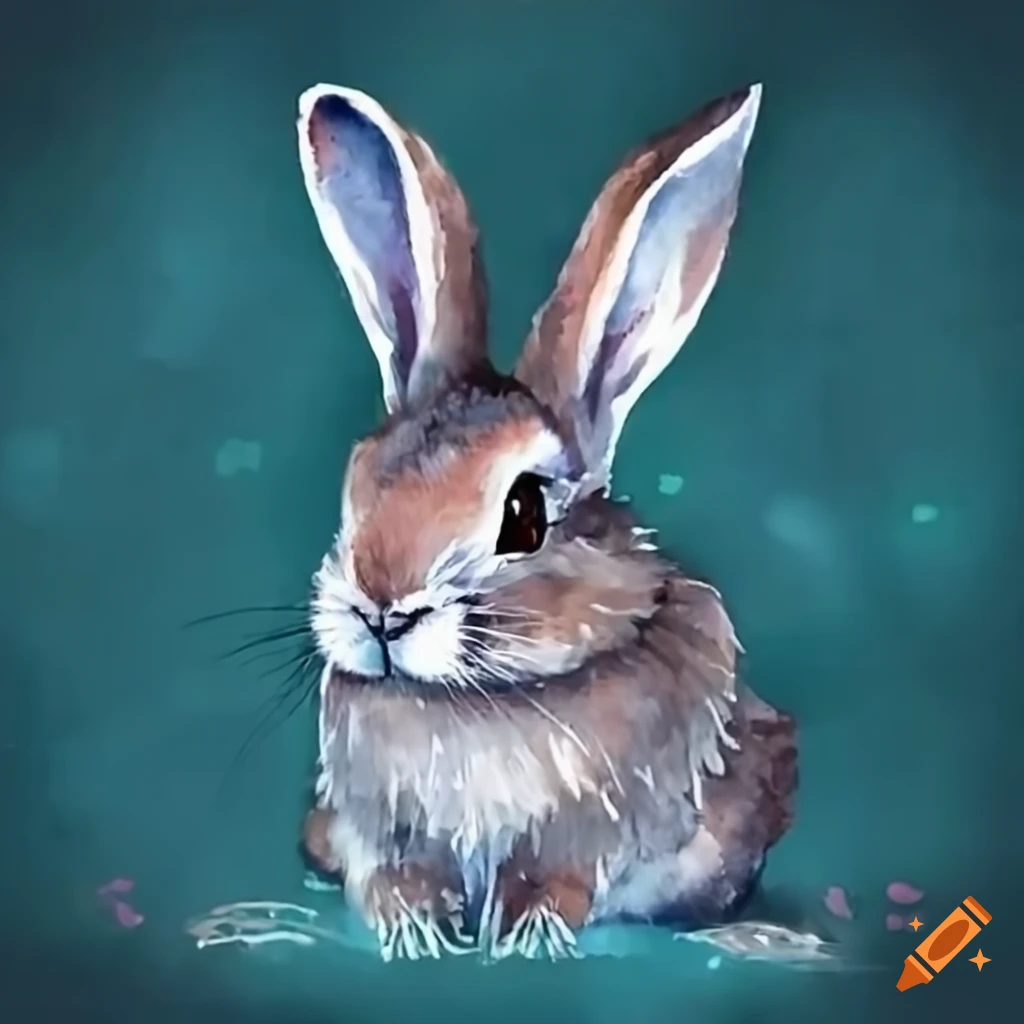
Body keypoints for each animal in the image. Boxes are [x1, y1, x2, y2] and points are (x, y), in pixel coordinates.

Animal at [295, 81, 797, 962]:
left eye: (524, 515)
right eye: (358, 485)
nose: (382, 611)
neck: (471, 700)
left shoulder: (594, 836)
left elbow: (554, 882)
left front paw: (525, 935)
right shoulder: (379, 833)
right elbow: (392, 877)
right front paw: (416, 933)